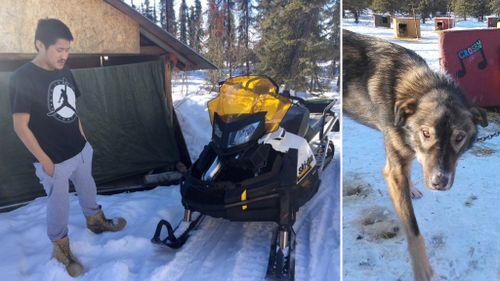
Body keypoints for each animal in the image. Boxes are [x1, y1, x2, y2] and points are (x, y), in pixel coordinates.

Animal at [342, 30, 486, 280]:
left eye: (459, 137)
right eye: (426, 133)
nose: (439, 181)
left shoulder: (403, 157)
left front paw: (411, 188)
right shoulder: (395, 169)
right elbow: (413, 228)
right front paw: (423, 270)